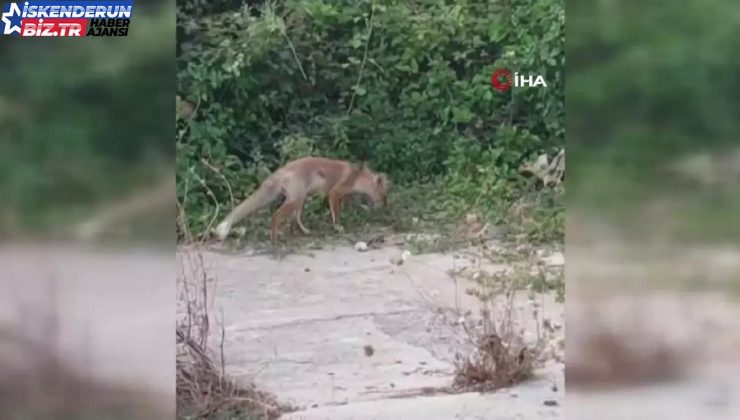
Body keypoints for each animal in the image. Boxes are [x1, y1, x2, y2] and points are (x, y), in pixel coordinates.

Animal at [212, 158, 388, 243]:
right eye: (384, 196)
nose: (385, 206)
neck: (357, 177)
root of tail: (281, 169)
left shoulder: (344, 195)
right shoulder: (334, 192)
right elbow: (336, 214)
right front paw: (337, 227)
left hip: (301, 199)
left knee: (295, 219)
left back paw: (304, 231)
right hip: (295, 200)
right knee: (276, 216)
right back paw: (275, 241)